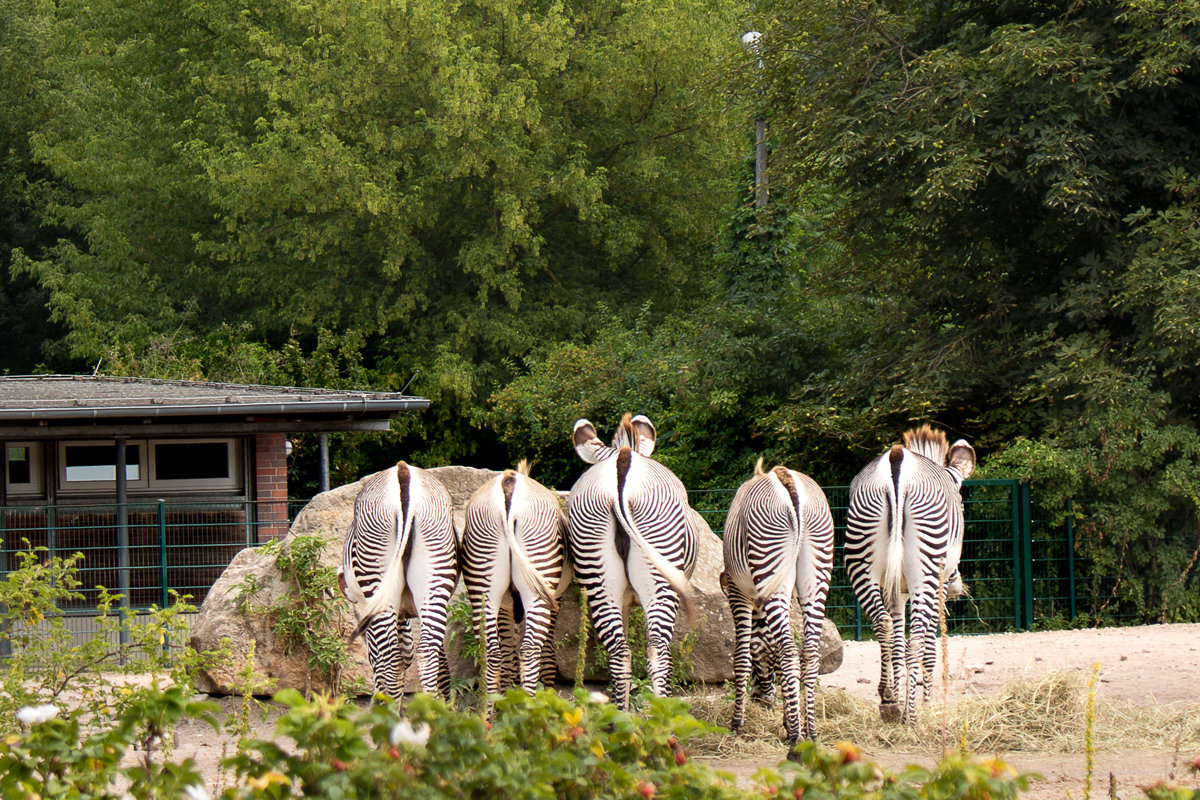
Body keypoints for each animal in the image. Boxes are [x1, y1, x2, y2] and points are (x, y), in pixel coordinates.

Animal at [338, 462, 458, 700]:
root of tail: (402, 472)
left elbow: (386, 657)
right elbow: (423, 658)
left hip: (377, 577)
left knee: (391, 657)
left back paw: (389, 709)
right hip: (434, 578)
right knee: (426, 652)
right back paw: (432, 708)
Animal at [458, 460, 571, 710]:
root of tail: (508, 484)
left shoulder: (505, 606)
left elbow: (508, 655)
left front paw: (506, 701)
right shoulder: (555, 600)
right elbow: (547, 654)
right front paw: (547, 696)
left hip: (484, 587)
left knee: (490, 652)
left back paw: (488, 714)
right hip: (538, 589)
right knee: (529, 649)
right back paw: (529, 711)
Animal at [566, 417, 700, 710]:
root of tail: (622, 460)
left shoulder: (625, 600)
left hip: (597, 572)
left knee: (619, 652)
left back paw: (621, 717)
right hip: (661, 574)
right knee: (658, 650)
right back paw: (662, 717)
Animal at [720, 462, 835, 743]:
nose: (761, 699)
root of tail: (786, 479)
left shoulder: (738, 593)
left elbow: (741, 656)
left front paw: (736, 724)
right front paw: (788, 718)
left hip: (768, 559)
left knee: (789, 651)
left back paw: (796, 737)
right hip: (815, 574)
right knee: (809, 652)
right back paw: (810, 731)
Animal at [844, 424, 974, 724]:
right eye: (962, 504)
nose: (957, 587)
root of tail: (897, 459)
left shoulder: (897, 590)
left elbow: (897, 641)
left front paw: (897, 693)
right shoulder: (935, 587)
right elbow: (928, 643)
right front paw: (926, 701)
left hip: (859, 560)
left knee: (883, 624)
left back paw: (889, 700)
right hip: (925, 573)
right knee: (915, 636)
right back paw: (911, 716)